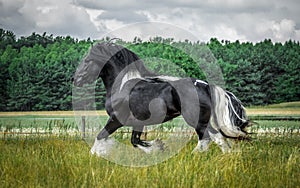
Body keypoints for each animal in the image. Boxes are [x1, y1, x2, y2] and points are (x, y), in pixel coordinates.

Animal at [72, 41, 251, 153]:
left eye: (87, 61)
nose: (75, 80)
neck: (121, 86)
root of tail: (206, 85)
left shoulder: (116, 120)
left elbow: (100, 138)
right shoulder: (138, 123)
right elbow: (135, 141)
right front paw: (158, 147)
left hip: (196, 119)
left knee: (209, 139)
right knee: (215, 139)